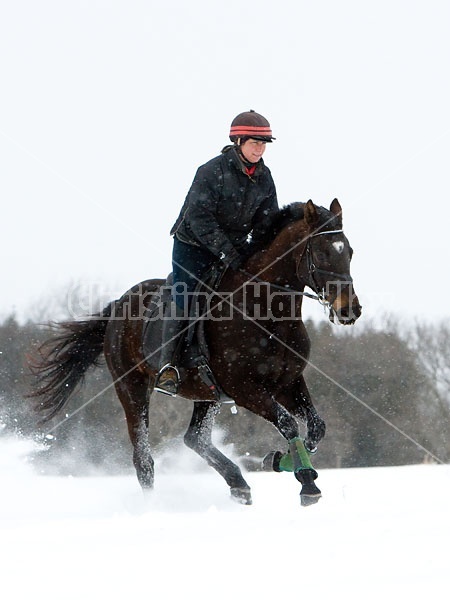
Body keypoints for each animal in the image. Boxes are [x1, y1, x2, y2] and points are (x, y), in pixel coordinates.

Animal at [29, 200, 362, 506]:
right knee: (143, 458)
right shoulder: (246, 390)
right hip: (131, 388)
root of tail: (118, 307)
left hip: (207, 393)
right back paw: (153, 506)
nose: (349, 310)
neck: (267, 313)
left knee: (195, 438)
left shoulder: (288, 383)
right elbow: (288, 423)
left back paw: (238, 483)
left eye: (349, 251)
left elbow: (316, 428)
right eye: (322, 253)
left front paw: (280, 461)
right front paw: (306, 481)